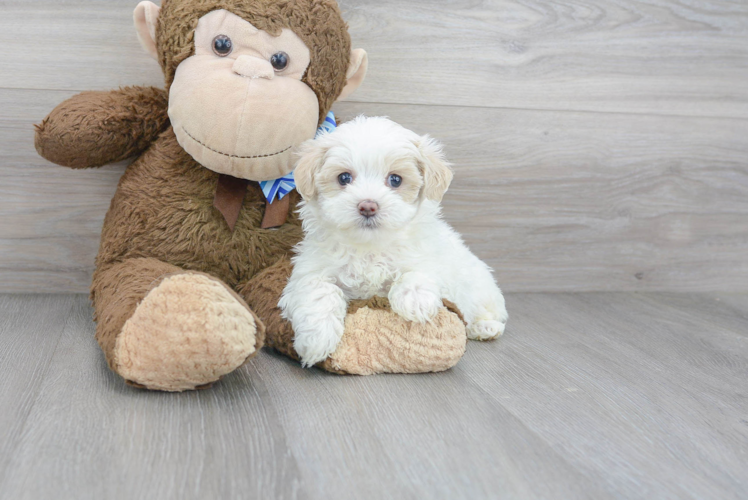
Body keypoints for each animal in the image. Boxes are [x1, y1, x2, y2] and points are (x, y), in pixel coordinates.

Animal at [280, 117, 508, 368]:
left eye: (395, 180)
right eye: (344, 178)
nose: (368, 206)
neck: (369, 247)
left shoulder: (428, 255)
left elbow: (418, 271)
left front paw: (415, 300)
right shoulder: (310, 270)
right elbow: (318, 291)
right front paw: (317, 339)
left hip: (479, 288)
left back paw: (485, 327)